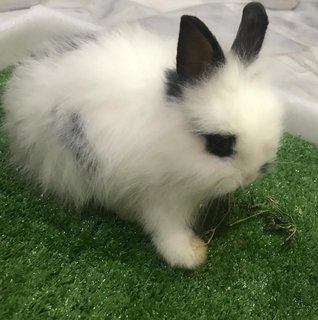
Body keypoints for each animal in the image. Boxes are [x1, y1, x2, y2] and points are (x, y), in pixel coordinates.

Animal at [2, 2, 284, 268]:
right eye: (220, 143)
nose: (248, 177)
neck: (170, 134)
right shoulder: (161, 198)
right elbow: (167, 230)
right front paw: (190, 255)